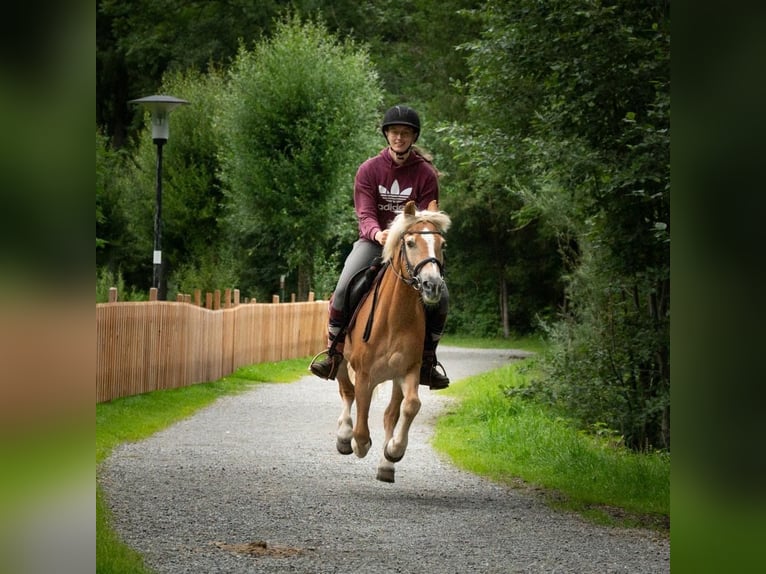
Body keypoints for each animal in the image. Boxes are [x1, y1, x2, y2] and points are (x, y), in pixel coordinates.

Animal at [334, 200, 450, 484]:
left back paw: (386, 464)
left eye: (442, 245)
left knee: (390, 413)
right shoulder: (364, 375)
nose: (432, 285)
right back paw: (344, 436)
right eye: (409, 242)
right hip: (341, 361)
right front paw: (358, 444)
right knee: (347, 391)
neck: (394, 318)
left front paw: (393, 452)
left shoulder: (407, 371)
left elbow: (409, 406)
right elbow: (362, 421)